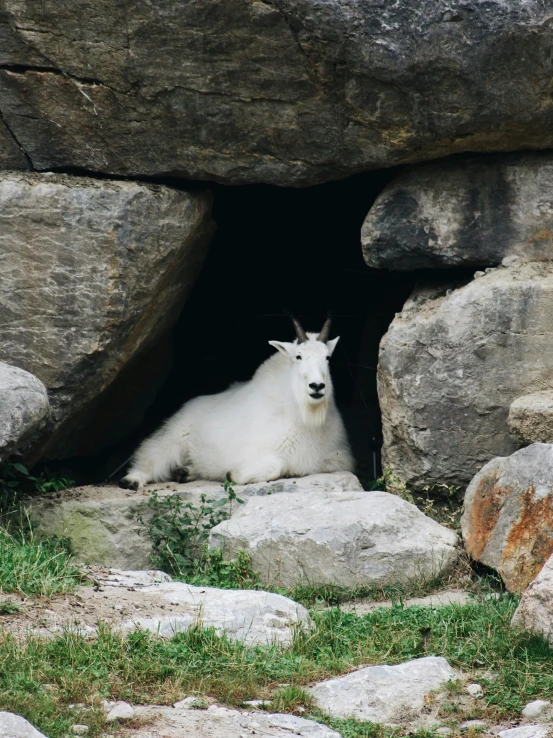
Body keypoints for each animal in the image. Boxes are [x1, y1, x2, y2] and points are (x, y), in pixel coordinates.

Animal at [120, 312, 354, 488]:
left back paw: (185, 472)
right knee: (153, 454)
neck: (304, 417)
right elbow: (275, 466)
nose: (316, 387)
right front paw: (233, 474)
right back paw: (132, 479)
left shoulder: (338, 458)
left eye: (327, 357)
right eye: (298, 356)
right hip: (176, 435)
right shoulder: (257, 452)